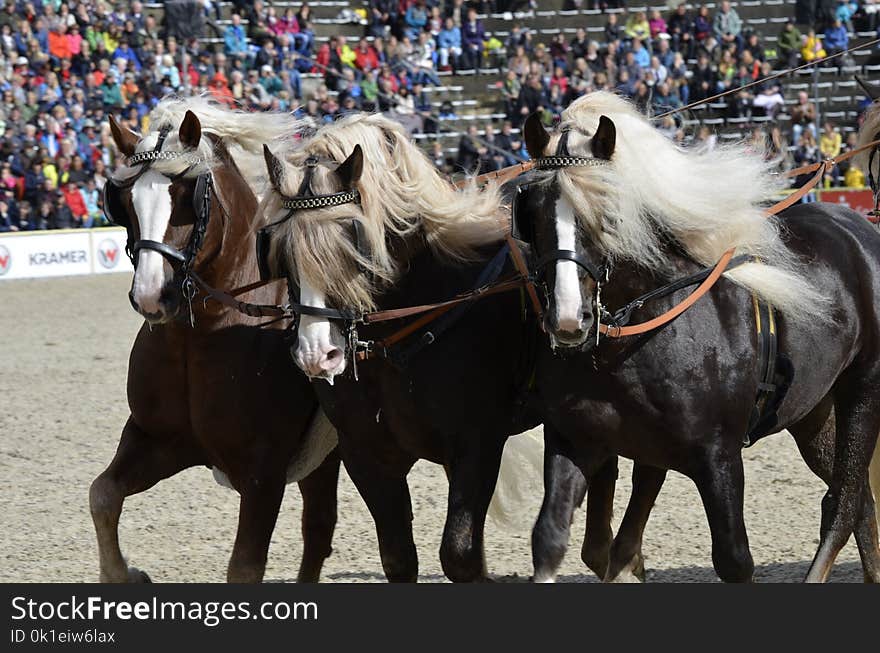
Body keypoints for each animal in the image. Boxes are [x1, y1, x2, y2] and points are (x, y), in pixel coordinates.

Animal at [87, 98, 338, 580]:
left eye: (188, 194)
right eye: (125, 200)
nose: (151, 296)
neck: (199, 336)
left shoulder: (263, 474)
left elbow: (244, 567)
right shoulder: (157, 441)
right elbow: (102, 495)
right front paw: (124, 574)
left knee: (319, 528)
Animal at [516, 105, 880, 580]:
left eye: (607, 213)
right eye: (534, 214)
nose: (567, 319)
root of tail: (858, 227)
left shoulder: (718, 458)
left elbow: (733, 559)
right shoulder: (576, 441)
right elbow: (551, 538)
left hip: (863, 391)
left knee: (844, 504)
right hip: (815, 413)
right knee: (862, 506)